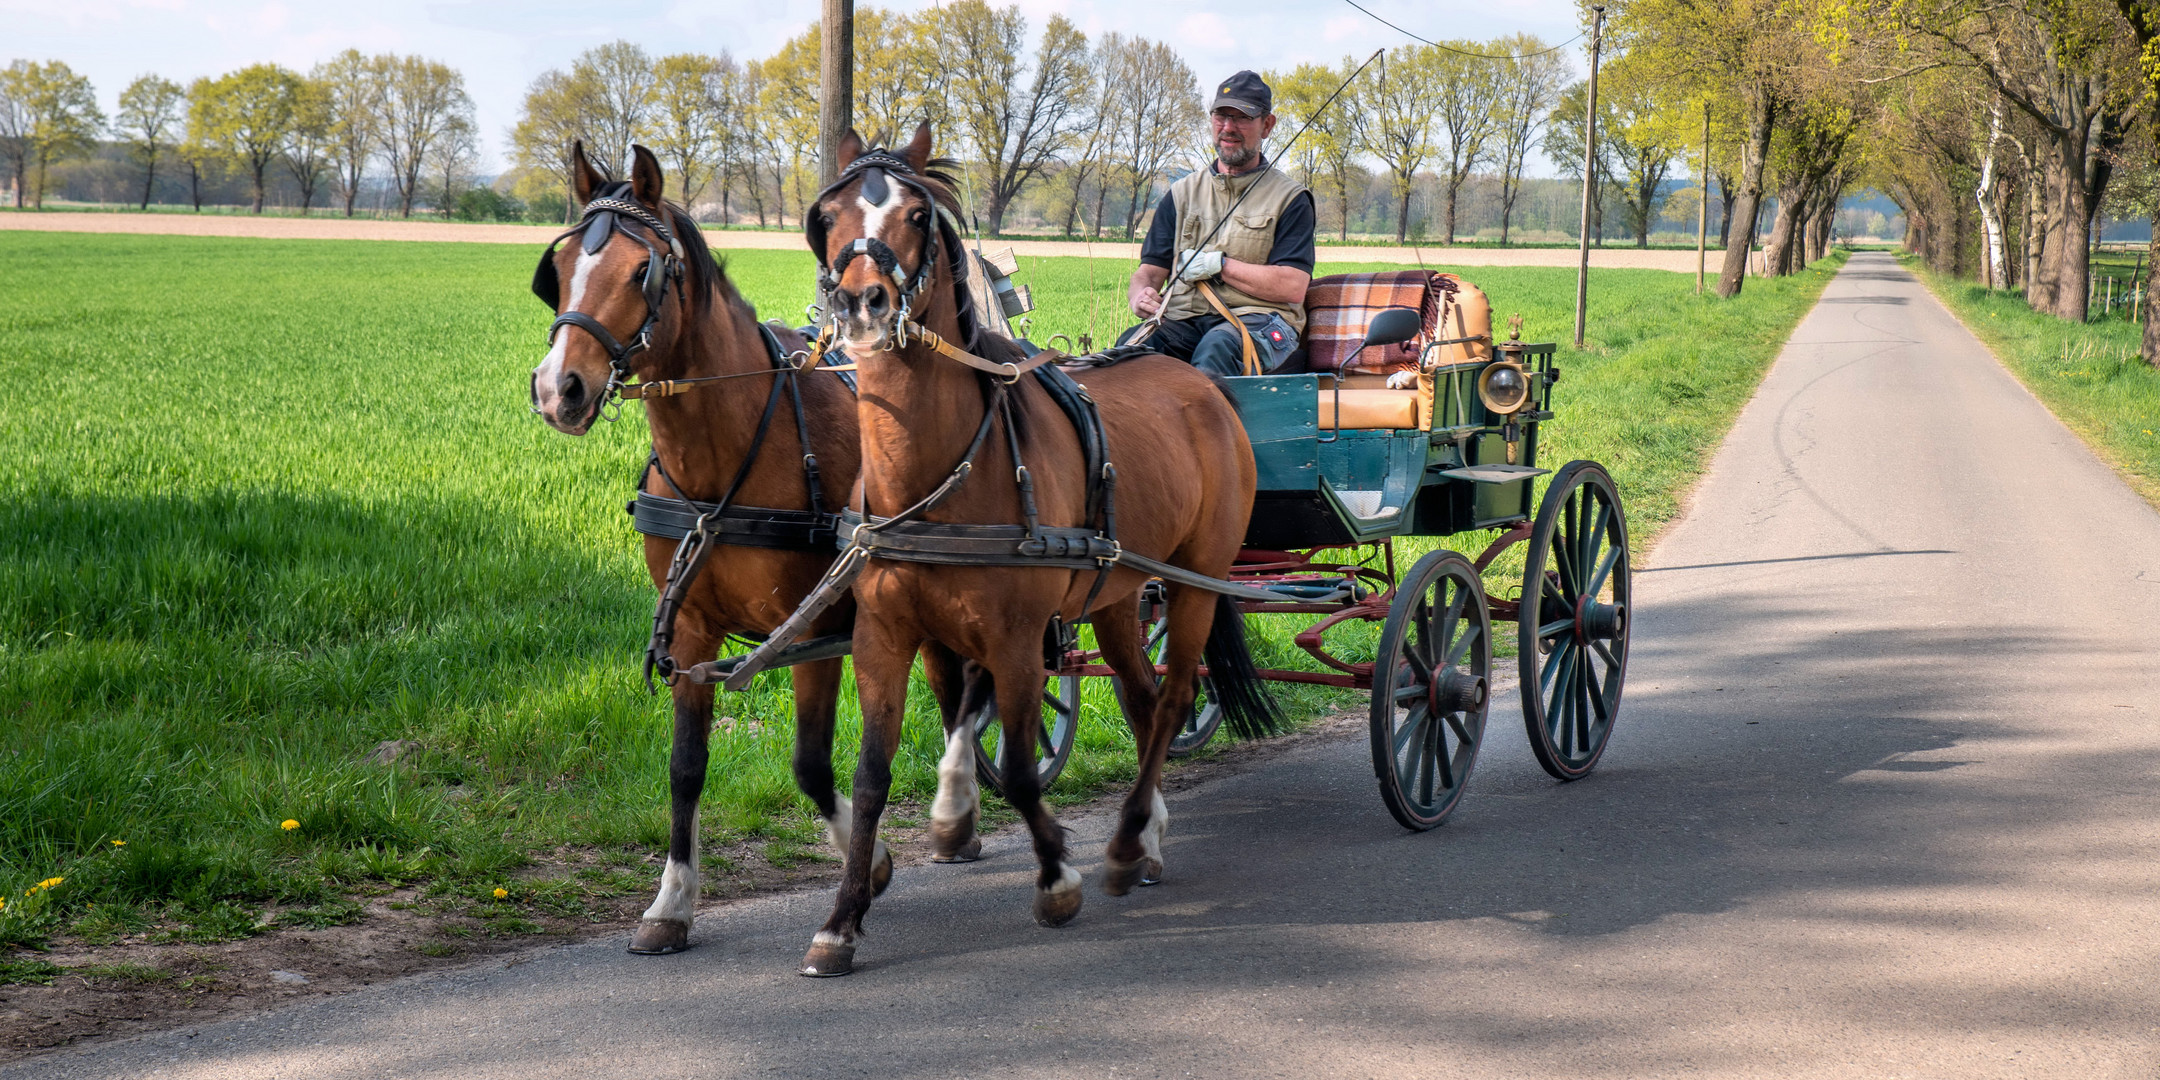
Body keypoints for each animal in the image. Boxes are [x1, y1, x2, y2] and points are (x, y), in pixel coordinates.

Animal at [527, 141, 997, 954]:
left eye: (640, 270)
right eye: (557, 269)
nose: (561, 389)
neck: (734, 451)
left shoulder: (811, 628)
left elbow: (809, 763)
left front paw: (872, 869)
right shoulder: (690, 628)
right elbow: (686, 767)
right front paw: (671, 902)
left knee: (961, 692)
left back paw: (956, 808)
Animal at [794, 126, 1270, 980]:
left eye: (916, 213)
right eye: (829, 214)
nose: (861, 303)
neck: (938, 471)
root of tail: (1203, 388)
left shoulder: (1016, 641)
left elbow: (1017, 768)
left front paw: (1055, 876)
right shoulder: (884, 637)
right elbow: (872, 775)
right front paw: (843, 919)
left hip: (1196, 583)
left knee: (1175, 695)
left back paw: (1125, 842)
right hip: (1120, 592)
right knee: (1142, 699)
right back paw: (1145, 832)